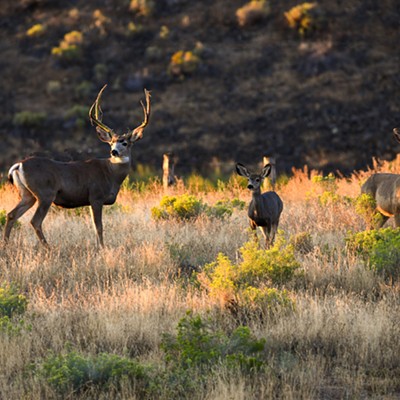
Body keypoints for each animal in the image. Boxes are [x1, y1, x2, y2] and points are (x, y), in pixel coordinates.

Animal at [3, 85, 152, 245]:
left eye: (124, 143)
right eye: (111, 142)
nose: (114, 151)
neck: (111, 174)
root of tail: (19, 165)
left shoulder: (90, 200)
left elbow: (94, 226)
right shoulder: (96, 196)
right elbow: (99, 227)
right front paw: (102, 247)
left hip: (27, 194)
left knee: (11, 215)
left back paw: (6, 245)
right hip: (45, 193)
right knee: (35, 221)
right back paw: (48, 247)